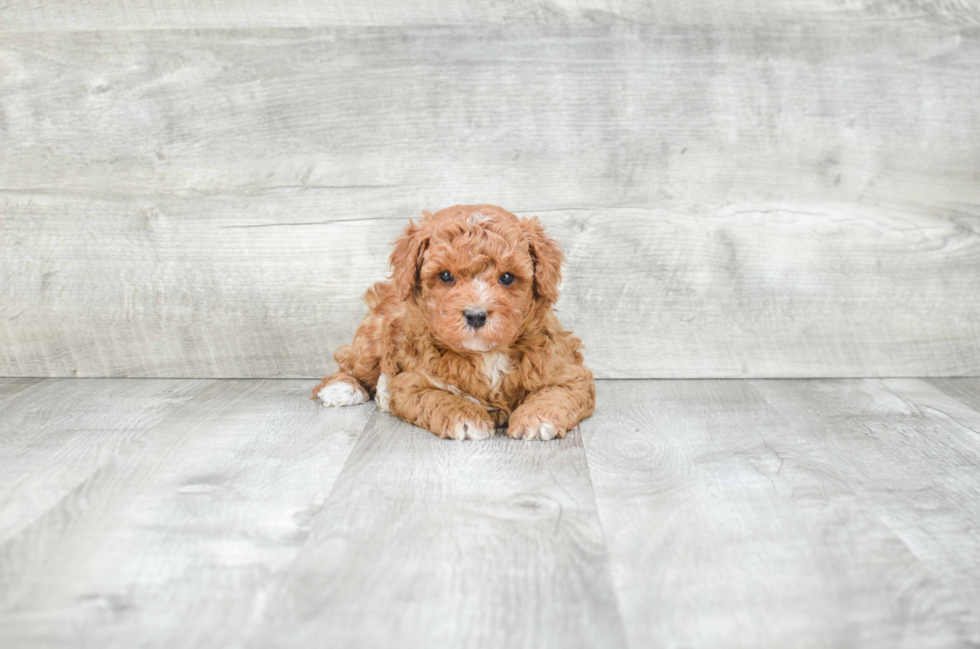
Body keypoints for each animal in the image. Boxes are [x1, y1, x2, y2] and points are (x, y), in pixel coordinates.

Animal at [310, 204, 592, 440]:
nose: (476, 315)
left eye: (507, 277)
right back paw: (342, 389)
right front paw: (466, 417)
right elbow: (438, 395)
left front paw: (538, 418)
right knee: (349, 363)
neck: (486, 354)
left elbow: (557, 393)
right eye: (446, 275)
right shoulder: (411, 382)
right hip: (371, 340)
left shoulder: (570, 373)